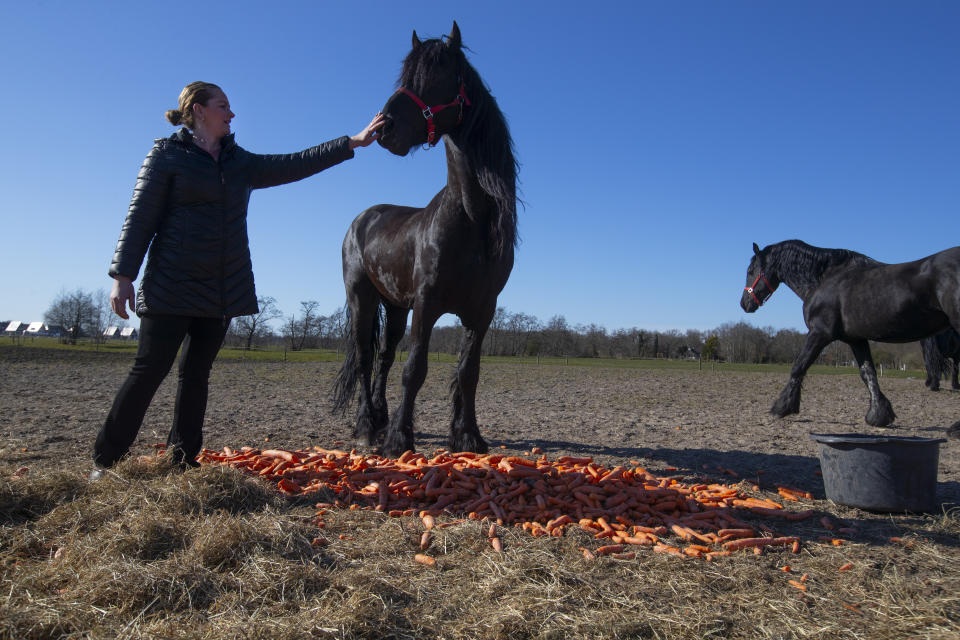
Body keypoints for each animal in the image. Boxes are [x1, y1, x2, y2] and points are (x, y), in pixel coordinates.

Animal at [336, 23, 516, 456]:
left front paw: (468, 436)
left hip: (395, 307)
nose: (384, 128)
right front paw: (399, 440)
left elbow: (468, 372)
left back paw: (380, 418)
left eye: (439, 75)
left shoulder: (483, 310)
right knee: (366, 357)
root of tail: (362, 218)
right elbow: (415, 368)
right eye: (405, 76)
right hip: (362, 297)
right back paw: (367, 427)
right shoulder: (427, 302)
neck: (471, 220)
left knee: (384, 357)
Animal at [744, 242, 960, 428]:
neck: (825, 278)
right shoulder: (856, 340)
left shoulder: (819, 333)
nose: (744, 303)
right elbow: (868, 374)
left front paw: (782, 407)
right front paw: (878, 415)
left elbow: (798, 367)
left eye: (750, 270)